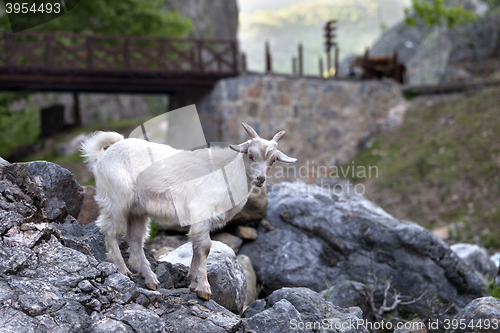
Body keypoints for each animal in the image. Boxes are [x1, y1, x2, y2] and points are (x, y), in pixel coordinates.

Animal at [80, 123, 294, 300]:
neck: (226, 172)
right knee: (110, 230)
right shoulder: (202, 213)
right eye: (250, 154)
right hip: (116, 199)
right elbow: (205, 247)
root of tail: (102, 156)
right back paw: (123, 270)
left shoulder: (200, 221)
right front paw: (204, 289)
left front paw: (192, 281)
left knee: (134, 239)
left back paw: (150, 279)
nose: (260, 179)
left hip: (137, 210)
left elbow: (196, 247)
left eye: (273, 160)